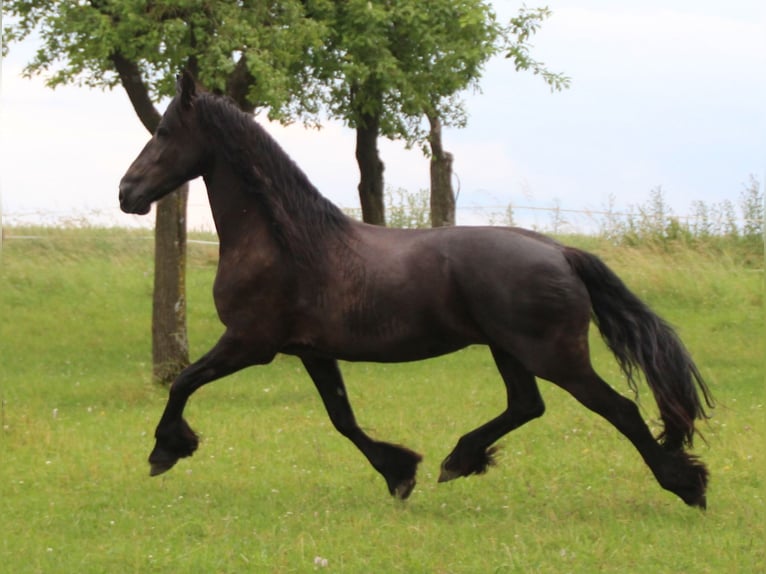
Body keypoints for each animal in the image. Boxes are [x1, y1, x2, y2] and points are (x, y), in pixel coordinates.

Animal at [118, 72, 712, 508]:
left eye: (164, 131)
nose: (127, 192)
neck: (285, 242)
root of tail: (560, 251)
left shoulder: (249, 342)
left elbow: (183, 382)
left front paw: (164, 451)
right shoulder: (310, 351)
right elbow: (342, 418)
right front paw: (400, 472)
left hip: (554, 356)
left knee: (620, 410)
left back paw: (686, 486)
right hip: (510, 350)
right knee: (527, 405)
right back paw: (458, 460)